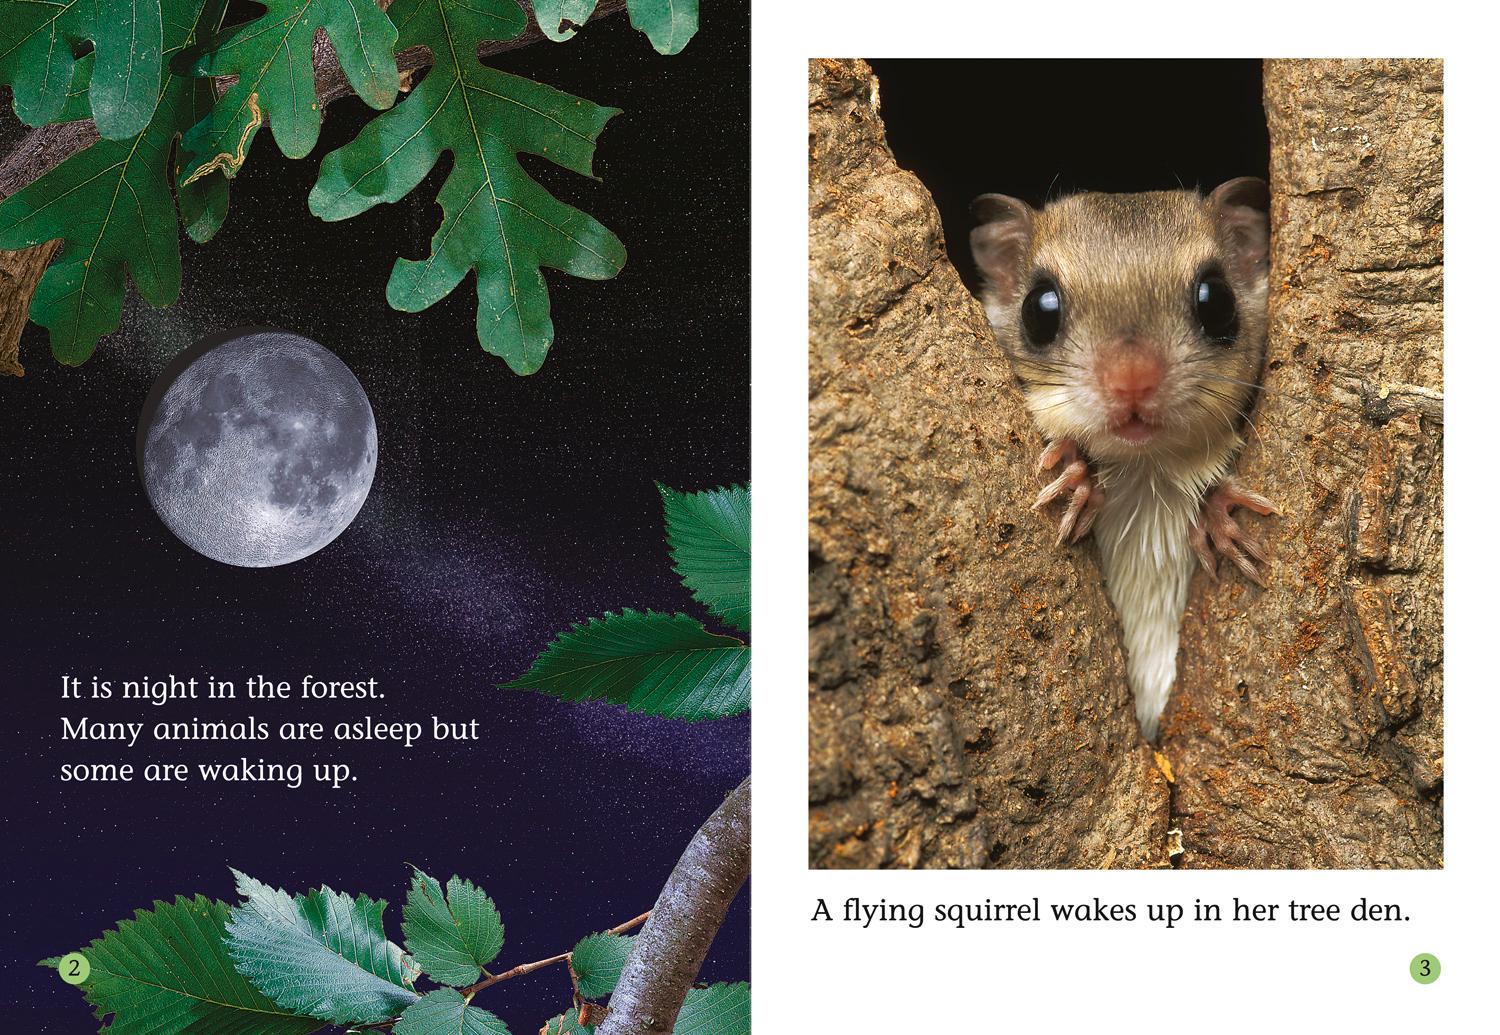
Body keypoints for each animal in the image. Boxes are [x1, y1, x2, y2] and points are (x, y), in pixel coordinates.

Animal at [971, 178, 1277, 740]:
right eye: (1039, 309)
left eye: (1216, 300)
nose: (1132, 379)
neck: (1145, 473)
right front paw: (1076, 476)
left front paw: (1218, 513)